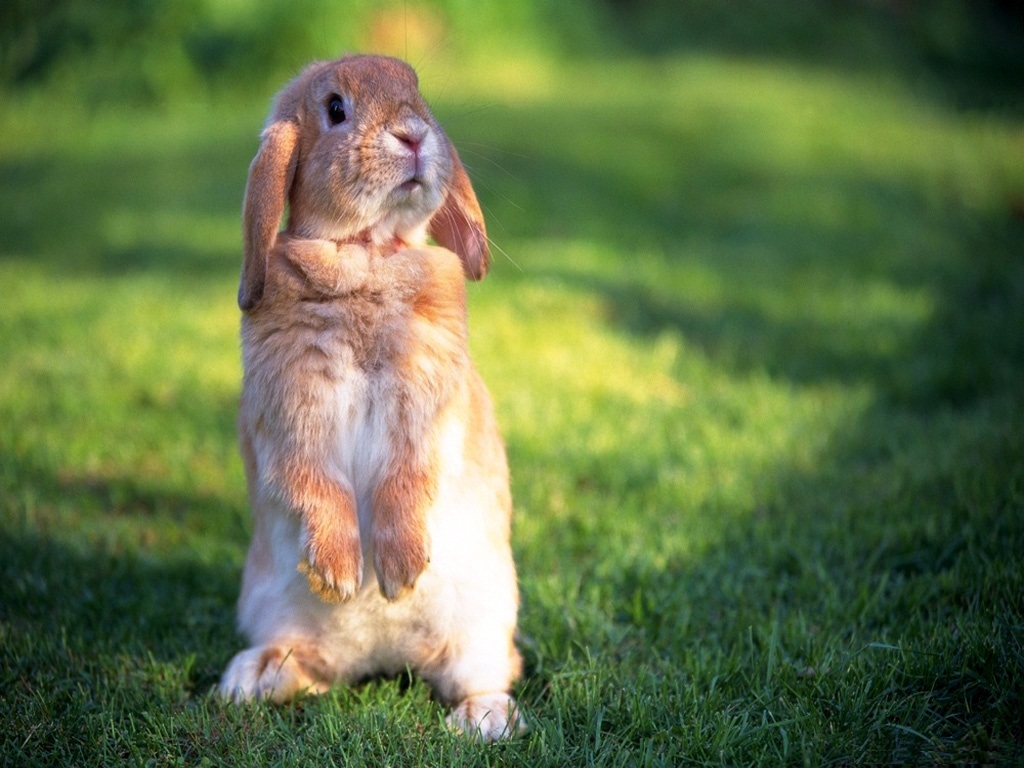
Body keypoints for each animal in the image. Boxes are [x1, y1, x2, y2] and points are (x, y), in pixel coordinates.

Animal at [217, 55, 522, 741]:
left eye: (417, 91)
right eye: (335, 108)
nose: (413, 135)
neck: (365, 252)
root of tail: (383, 658)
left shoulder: (426, 412)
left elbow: (406, 480)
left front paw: (401, 572)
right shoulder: (292, 415)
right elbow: (315, 482)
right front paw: (338, 573)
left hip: (484, 625)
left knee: (485, 672)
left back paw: (482, 718)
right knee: (310, 668)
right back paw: (251, 678)